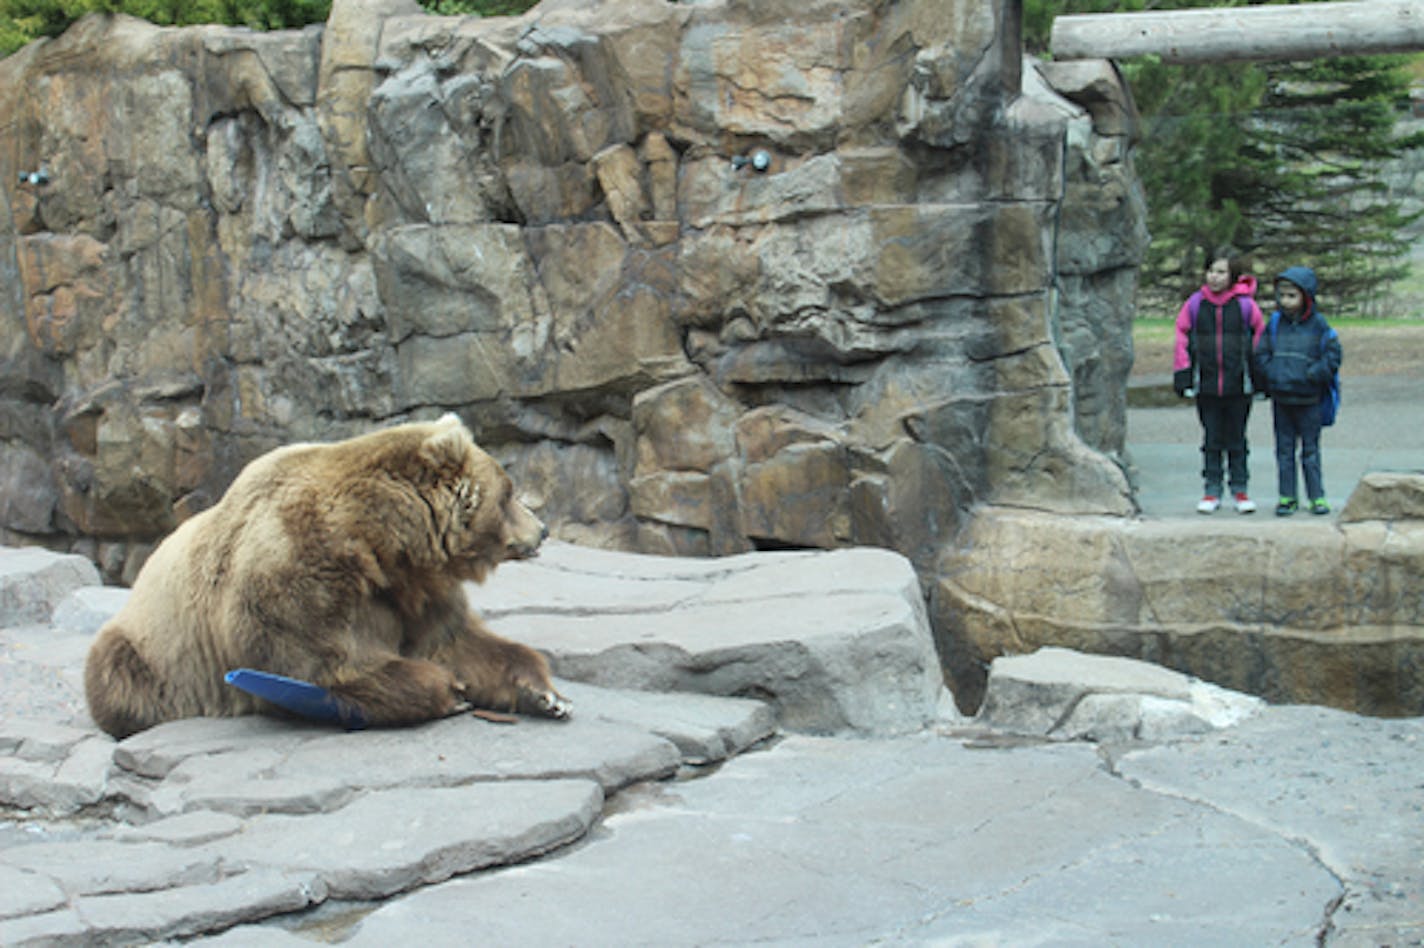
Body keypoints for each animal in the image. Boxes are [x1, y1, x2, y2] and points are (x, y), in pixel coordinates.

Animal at [83, 415, 566, 740]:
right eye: (508, 493)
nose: (542, 528)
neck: (381, 548)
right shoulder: (294, 574)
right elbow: (323, 664)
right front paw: (450, 690)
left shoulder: (417, 591)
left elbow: (457, 640)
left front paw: (544, 694)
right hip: (149, 652)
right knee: (120, 681)